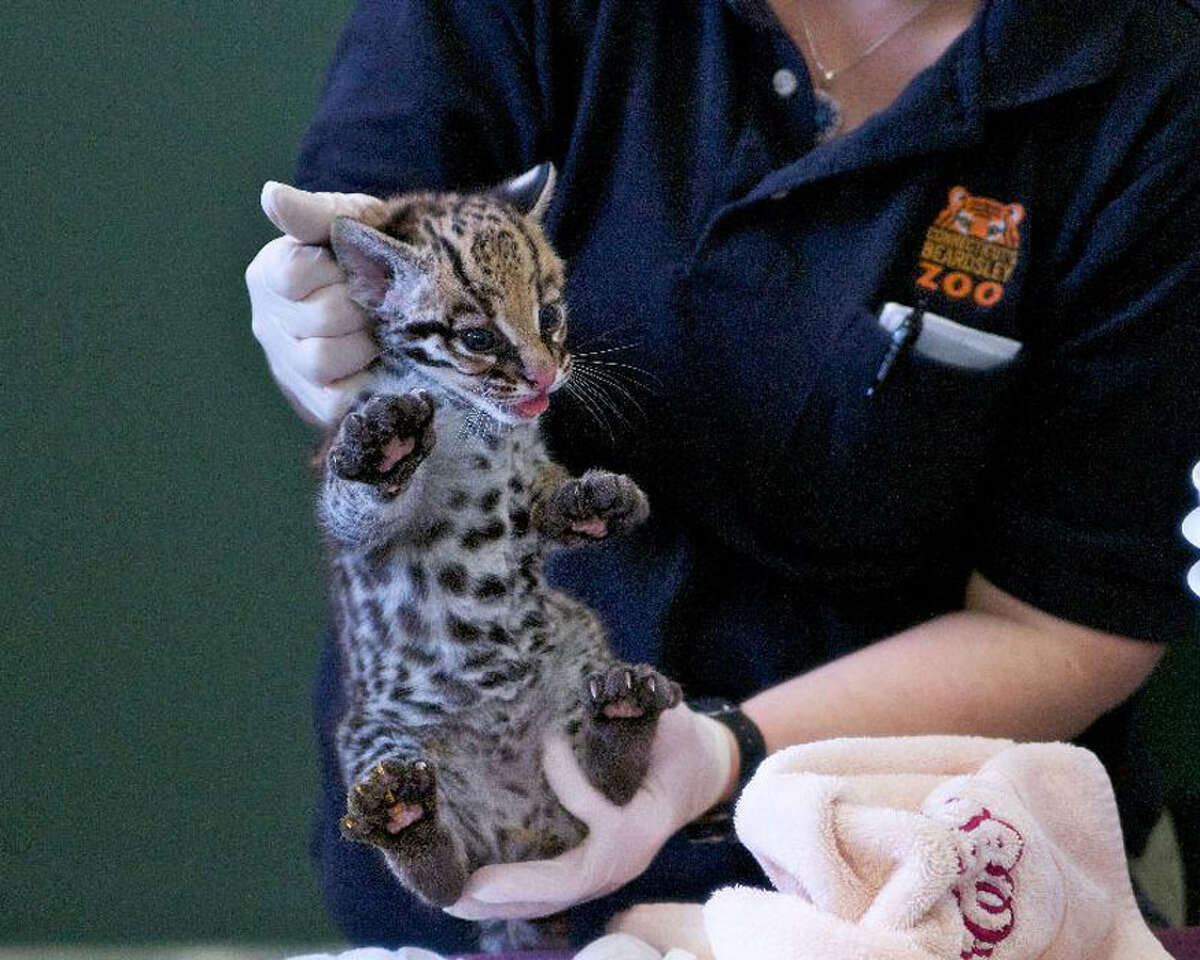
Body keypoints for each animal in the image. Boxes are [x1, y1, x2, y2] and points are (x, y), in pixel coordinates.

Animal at [319, 165, 681, 950]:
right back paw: (407, 824)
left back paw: (623, 720)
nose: (546, 379)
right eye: (478, 336)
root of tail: (522, 835)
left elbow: (541, 503)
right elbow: (359, 502)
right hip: (377, 734)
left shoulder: (527, 478)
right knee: (447, 879)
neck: (479, 424)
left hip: (577, 654)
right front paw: (383, 448)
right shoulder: (365, 532)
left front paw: (596, 500)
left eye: (549, 315)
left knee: (608, 795)